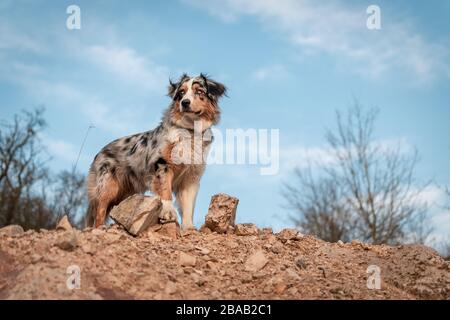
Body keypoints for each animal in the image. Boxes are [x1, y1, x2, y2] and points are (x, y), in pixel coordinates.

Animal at [85, 74, 225, 230]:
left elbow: (188, 205)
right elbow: (165, 191)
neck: (190, 131)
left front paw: (189, 227)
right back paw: (99, 228)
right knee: (100, 210)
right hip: (108, 186)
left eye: (199, 91)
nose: (185, 103)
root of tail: (100, 152)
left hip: (126, 192)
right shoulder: (162, 164)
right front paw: (168, 213)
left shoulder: (191, 176)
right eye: (181, 93)